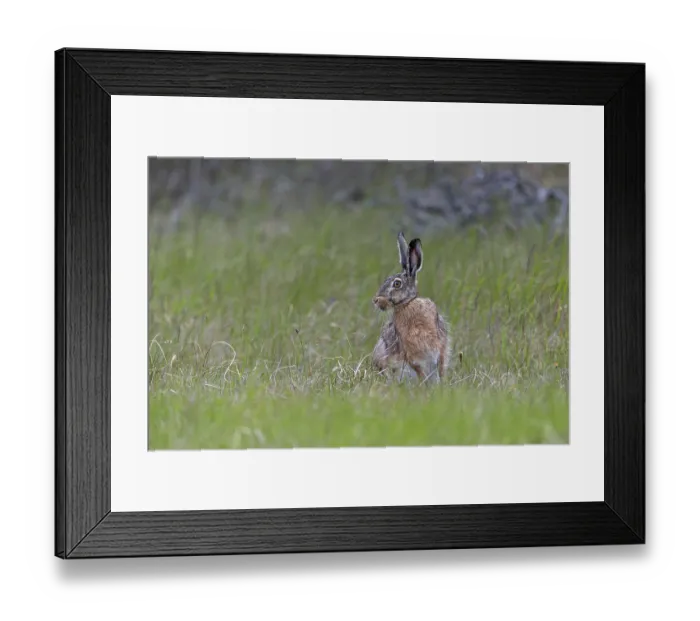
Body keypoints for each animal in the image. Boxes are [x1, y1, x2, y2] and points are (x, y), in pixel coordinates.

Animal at [371, 232, 451, 383]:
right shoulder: (408, 352)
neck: (408, 303)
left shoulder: (440, 345)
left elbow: (440, 363)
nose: (376, 300)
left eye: (397, 284)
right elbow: (417, 368)